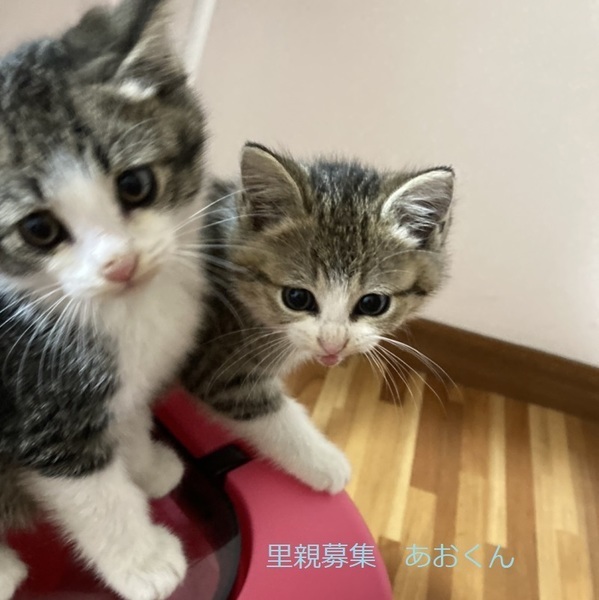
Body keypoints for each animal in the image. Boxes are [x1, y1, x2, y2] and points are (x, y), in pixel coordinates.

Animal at [0, 1, 208, 598]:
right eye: (38, 230)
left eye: (135, 184)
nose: (121, 264)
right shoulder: (40, 413)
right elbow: (93, 494)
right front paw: (145, 563)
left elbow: (128, 415)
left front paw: (147, 466)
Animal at [180, 142, 454, 494]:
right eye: (297, 298)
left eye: (373, 303)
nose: (333, 343)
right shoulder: (216, 364)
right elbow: (268, 414)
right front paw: (326, 463)